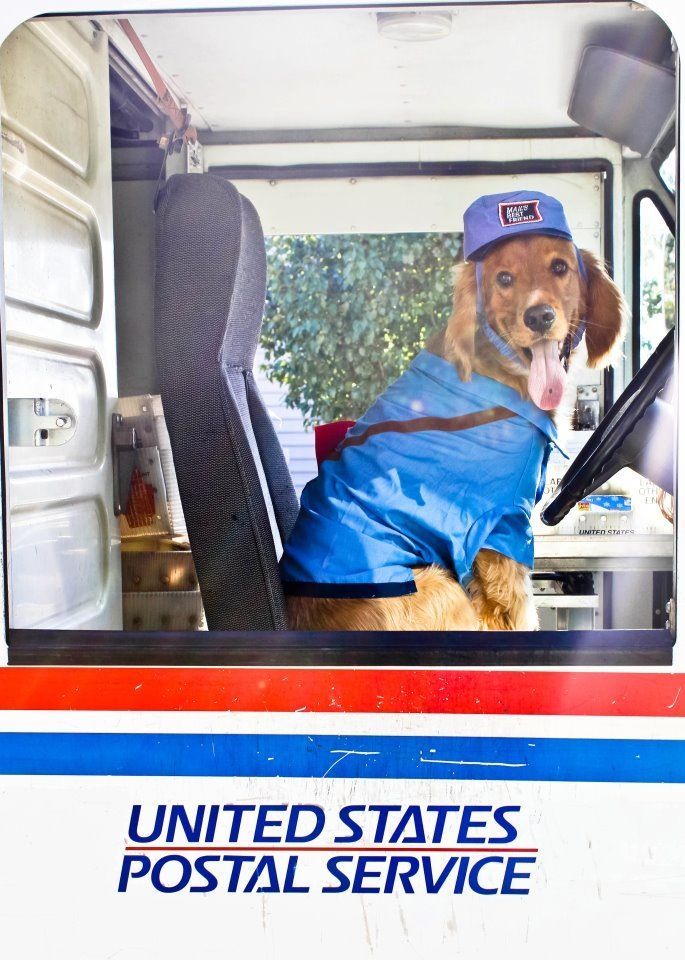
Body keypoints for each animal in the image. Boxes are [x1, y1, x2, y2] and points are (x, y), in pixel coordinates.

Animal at [280, 207, 624, 632]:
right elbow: (518, 610)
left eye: (560, 267)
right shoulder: (503, 525)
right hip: (440, 584)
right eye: (504, 278)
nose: (540, 316)